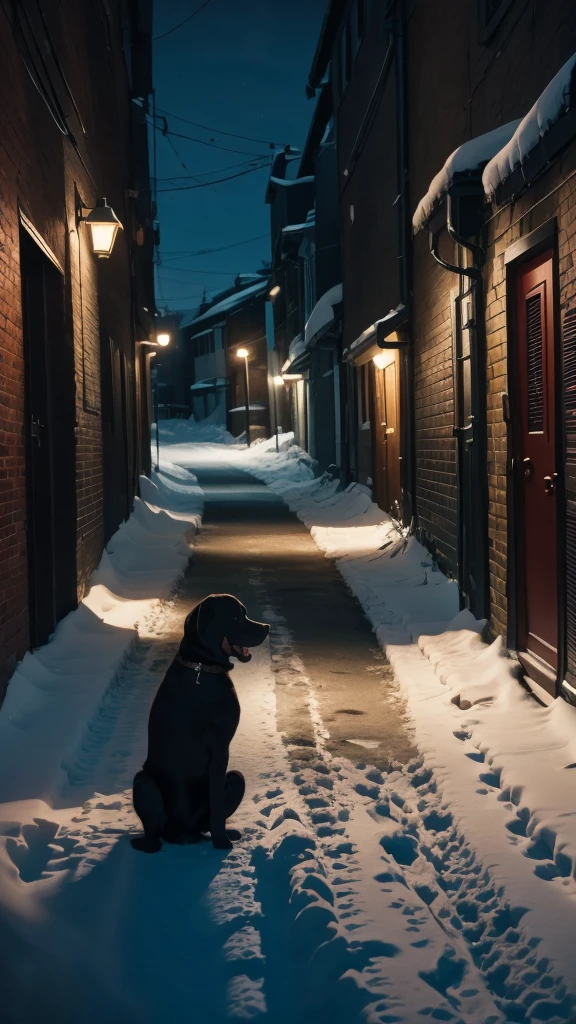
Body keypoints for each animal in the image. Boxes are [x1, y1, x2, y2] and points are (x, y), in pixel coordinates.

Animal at [131, 598, 268, 851]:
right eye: (236, 617)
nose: (266, 627)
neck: (201, 667)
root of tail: (181, 833)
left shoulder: (220, 750)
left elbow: (216, 806)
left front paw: (221, 839)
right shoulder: (217, 747)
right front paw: (221, 844)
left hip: (237, 779)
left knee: (208, 820)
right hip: (143, 782)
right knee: (154, 835)